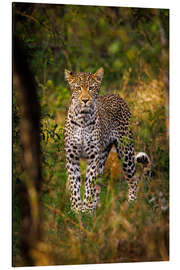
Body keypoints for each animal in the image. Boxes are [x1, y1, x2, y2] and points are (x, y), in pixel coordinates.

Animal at [64, 67, 151, 213]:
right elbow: (74, 185)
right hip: (103, 154)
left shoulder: (93, 156)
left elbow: (89, 185)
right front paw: (77, 211)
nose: (85, 100)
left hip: (125, 152)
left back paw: (131, 204)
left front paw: (85, 210)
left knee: (133, 180)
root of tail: (117, 95)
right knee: (98, 186)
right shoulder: (72, 156)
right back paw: (94, 210)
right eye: (78, 88)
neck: (82, 118)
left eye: (91, 88)